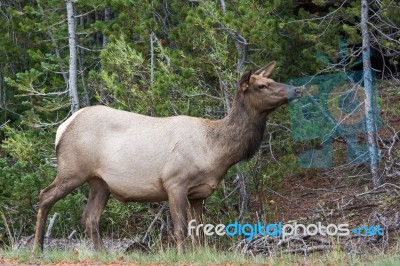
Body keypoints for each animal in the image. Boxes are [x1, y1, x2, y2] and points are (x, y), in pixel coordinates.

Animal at [32, 61, 302, 251]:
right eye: (262, 85)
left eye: (272, 79)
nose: (297, 89)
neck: (215, 151)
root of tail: (62, 128)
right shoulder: (175, 182)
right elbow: (181, 229)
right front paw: (184, 255)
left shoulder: (198, 193)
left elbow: (199, 231)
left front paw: (200, 253)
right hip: (72, 168)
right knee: (45, 196)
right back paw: (38, 248)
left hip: (100, 182)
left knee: (90, 216)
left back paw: (101, 253)